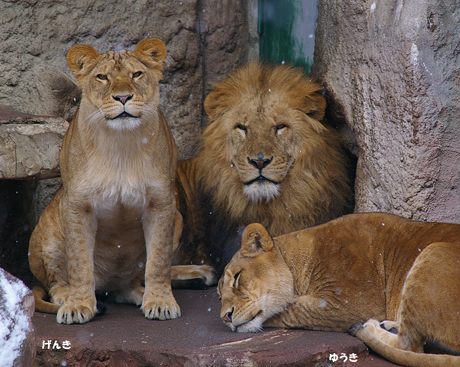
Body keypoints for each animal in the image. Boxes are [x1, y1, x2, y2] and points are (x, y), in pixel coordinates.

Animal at [28, 38, 216, 324]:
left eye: (136, 74)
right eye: (102, 77)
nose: (124, 97)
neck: (120, 145)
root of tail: (108, 285)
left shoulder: (162, 203)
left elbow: (158, 262)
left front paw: (160, 302)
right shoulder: (77, 204)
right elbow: (80, 261)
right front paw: (78, 305)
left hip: (179, 219)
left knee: (128, 286)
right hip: (47, 230)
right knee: (55, 283)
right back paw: (69, 297)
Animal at [218, 213, 460, 367]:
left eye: (237, 279)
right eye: (219, 296)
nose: (225, 318)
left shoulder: (352, 302)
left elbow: (293, 309)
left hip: (435, 250)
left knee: (410, 346)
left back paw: (372, 327)